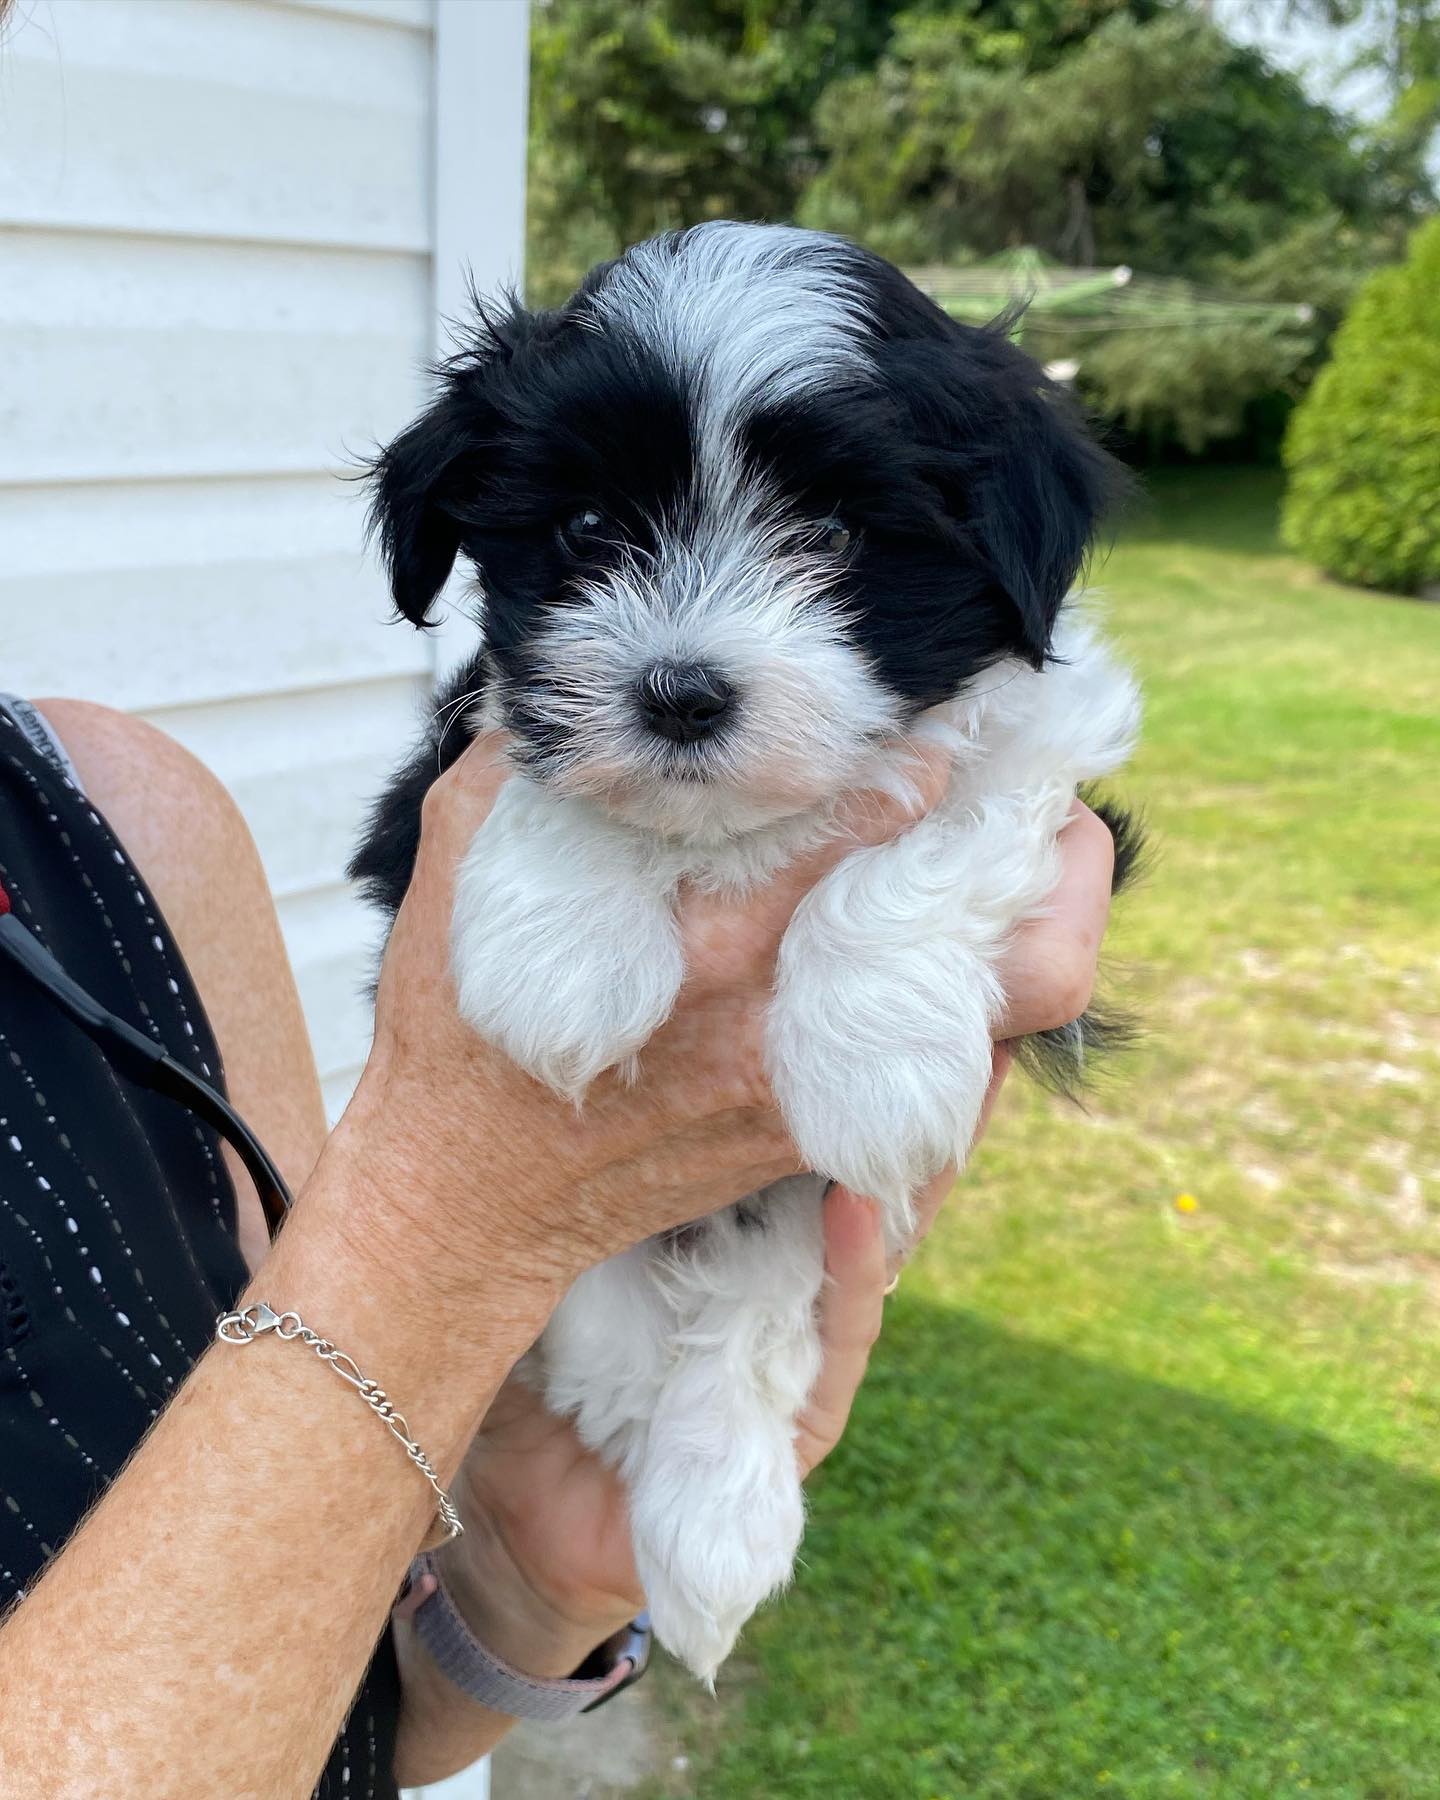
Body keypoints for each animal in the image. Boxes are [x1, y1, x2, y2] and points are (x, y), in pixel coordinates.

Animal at [351, 221, 1141, 1680]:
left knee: (756, 1295)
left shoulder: (1057, 772)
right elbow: (538, 753)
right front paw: (564, 961)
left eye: (831, 533)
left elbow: (941, 831)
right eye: (588, 527)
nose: (677, 692)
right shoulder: (456, 762)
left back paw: (716, 1517)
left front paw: (874, 1064)